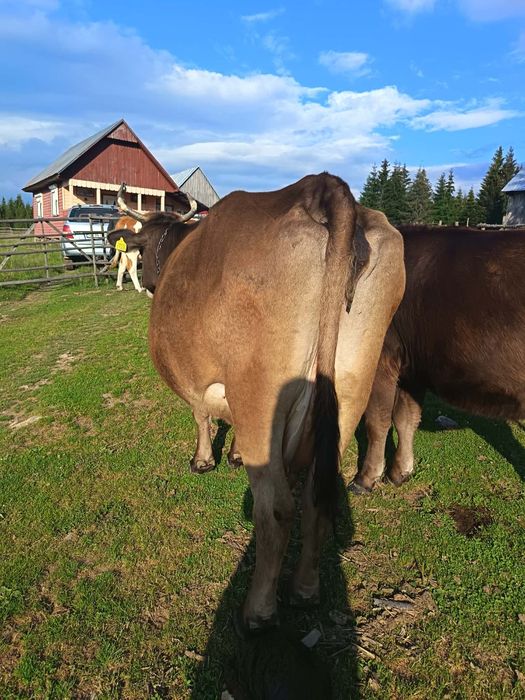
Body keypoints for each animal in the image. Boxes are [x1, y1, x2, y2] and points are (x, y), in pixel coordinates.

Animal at [114, 173, 405, 631]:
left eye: (142, 249)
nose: (150, 283)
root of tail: (321, 187)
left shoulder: (200, 379)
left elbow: (200, 413)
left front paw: (204, 460)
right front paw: (233, 455)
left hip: (262, 393)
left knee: (278, 509)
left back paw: (258, 611)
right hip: (351, 385)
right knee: (318, 496)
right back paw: (305, 589)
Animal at [351, 224, 525, 494]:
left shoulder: (382, 357)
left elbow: (377, 421)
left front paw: (365, 478)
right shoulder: (412, 368)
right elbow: (406, 418)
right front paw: (400, 472)